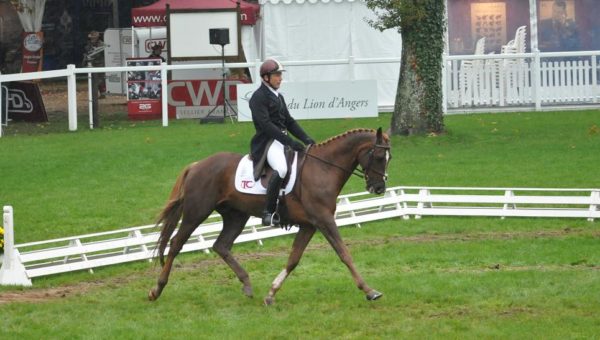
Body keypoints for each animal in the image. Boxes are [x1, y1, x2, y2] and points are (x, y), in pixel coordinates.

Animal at [149, 128, 392, 306]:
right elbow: (344, 254)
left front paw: (271, 293)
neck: (323, 169)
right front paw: (369, 291)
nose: (379, 187)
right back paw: (156, 289)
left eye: (389, 158)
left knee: (221, 245)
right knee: (176, 244)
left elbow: (293, 259)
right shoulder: (324, 220)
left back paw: (247, 284)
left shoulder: (309, 225)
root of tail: (197, 165)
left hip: (236, 216)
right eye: (380, 156)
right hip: (196, 212)